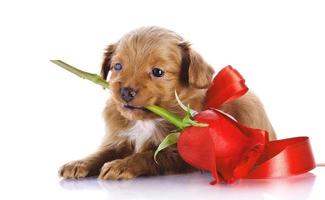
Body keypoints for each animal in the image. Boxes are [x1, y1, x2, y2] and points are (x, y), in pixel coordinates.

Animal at [59, 26, 274, 180]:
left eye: (158, 72)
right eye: (117, 66)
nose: (126, 92)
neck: (146, 120)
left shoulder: (179, 152)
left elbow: (148, 156)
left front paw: (121, 165)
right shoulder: (119, 139)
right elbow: (101, 153)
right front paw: (79, 163)